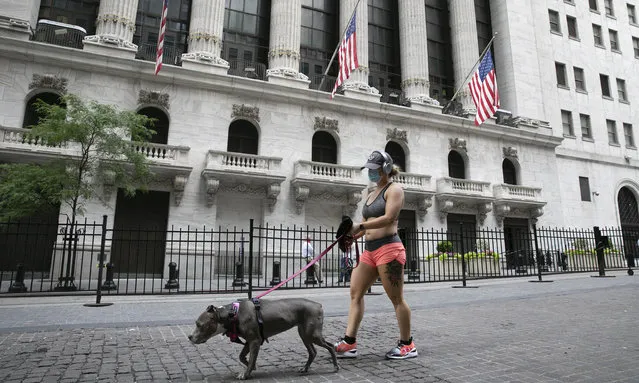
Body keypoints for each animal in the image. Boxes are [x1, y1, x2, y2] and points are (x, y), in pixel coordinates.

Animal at [189, 298, 340, 380]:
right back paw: (305, 368)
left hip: (312, 334)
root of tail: (318, 305)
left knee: (330, 346)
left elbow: (250, 359)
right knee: (313, 352)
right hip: (304, 334)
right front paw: (251, 365)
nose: (190, 337)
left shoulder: (255, 341)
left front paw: (246, 374)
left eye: (199, 324)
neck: (232, 314)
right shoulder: (250, 340)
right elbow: (242, 356)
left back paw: (335, 366)